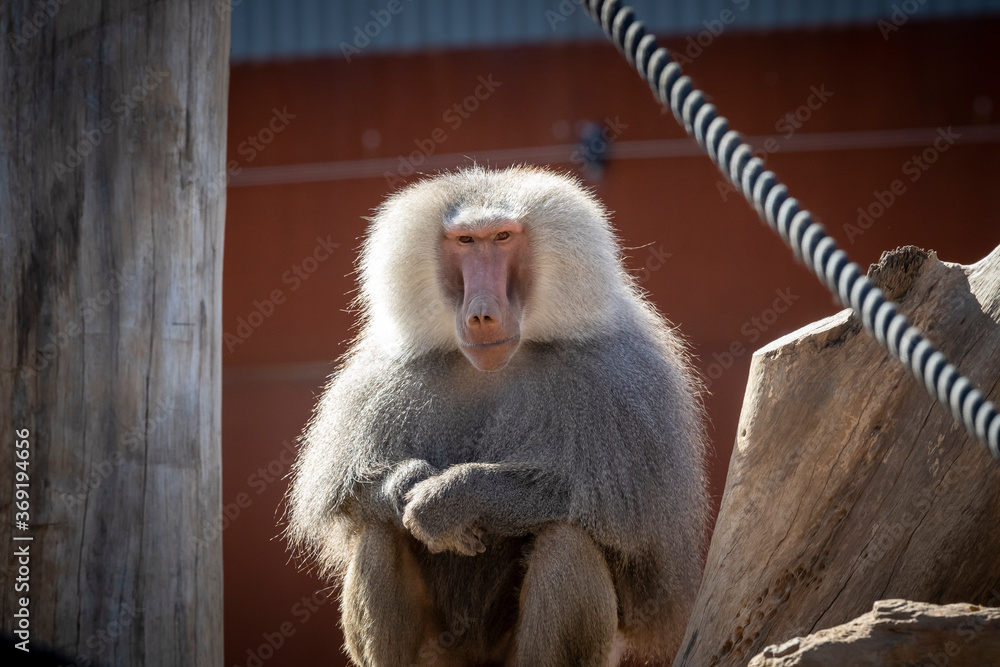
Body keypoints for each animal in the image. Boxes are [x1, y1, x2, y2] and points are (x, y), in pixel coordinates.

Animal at [286, 166, 709, 667]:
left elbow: (619, 522)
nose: (482, 315)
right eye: (466, 241)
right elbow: (353, 496)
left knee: (567, 540)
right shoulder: (384, 375)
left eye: (503, 237)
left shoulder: (623, 378)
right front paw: (409, 483)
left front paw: (451, 498)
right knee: (379, 533)